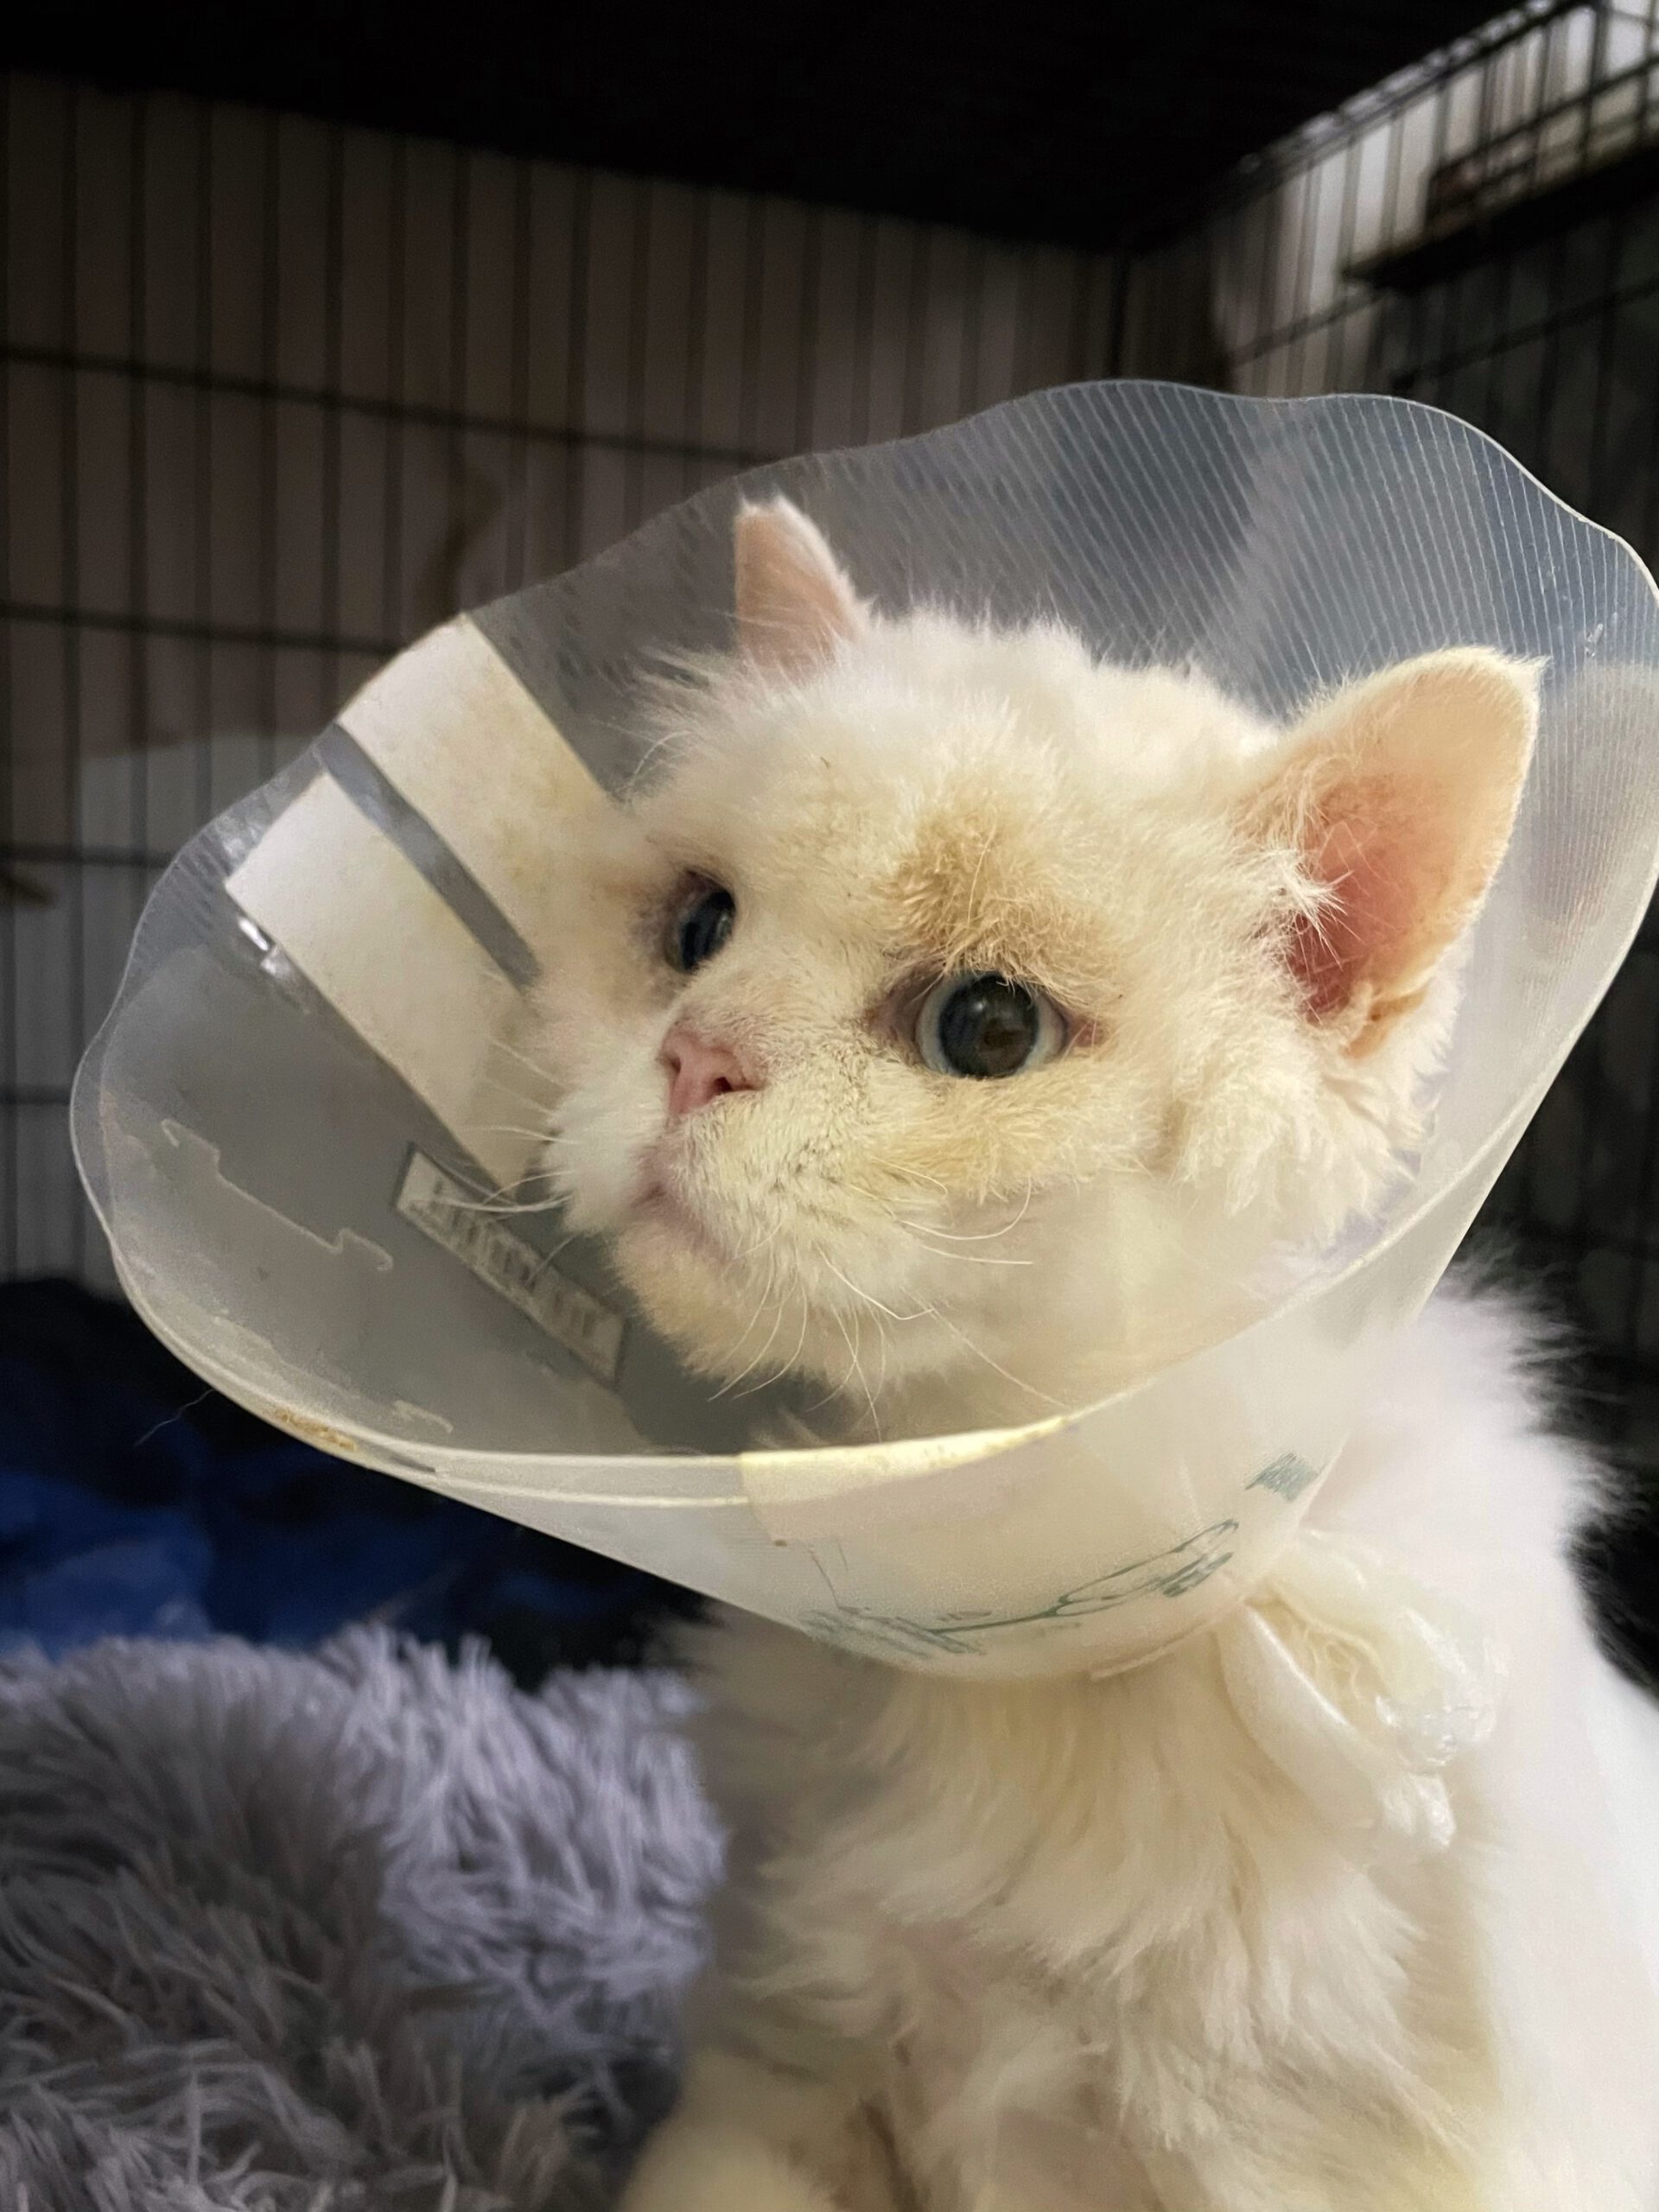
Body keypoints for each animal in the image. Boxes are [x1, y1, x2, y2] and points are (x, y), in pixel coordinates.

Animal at [533, 496, 1659, 2210]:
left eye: (988, 1030)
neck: (1041, 1636)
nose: (693, 1056)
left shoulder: (1285, 2165)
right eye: (699, 929)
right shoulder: (785, 2065)